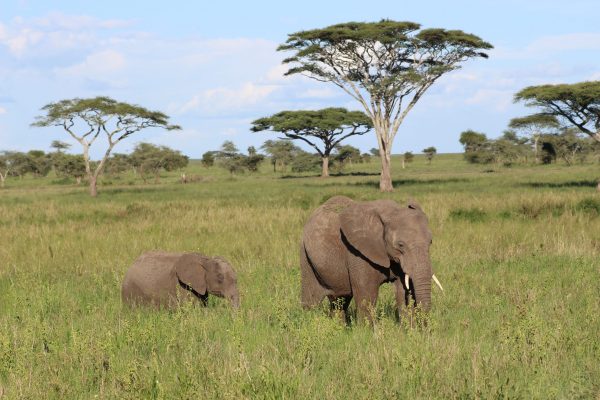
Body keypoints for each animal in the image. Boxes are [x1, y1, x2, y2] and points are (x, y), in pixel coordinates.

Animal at [300, 195, 440, 324]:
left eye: (430, 242)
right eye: (400, 245)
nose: (424, 325)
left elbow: (402, 290)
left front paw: (408, 329)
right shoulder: (357, 253)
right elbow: (367, 295)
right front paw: (367, 332)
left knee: (340, 301)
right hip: (305, 255)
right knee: (311, 300)